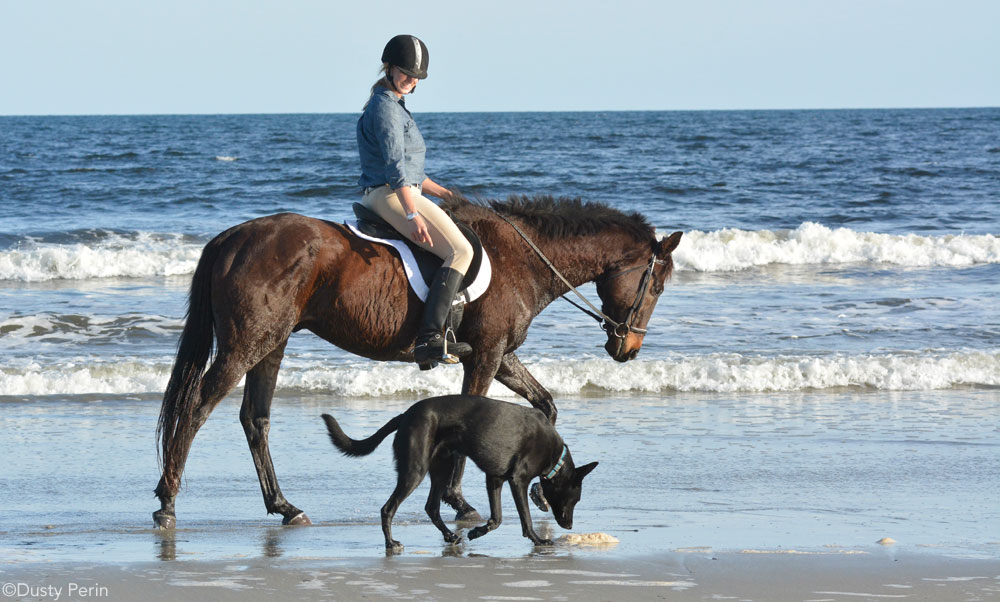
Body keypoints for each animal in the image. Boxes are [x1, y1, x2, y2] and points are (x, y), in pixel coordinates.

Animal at [152, 196, 684, 524]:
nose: (628, 350)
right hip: (247, 344)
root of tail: (231, 237)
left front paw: (537, 489)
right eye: (657, 286)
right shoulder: (485, 356)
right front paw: (458, 502)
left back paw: (284, 506)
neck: (522, 259)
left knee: (255, 419)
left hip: (271, 343)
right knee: (196, 409)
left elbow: (546, 406)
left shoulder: (502, 354)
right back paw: (168, 500)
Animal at [324, 392, 596, 552]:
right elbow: (525, 519)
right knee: (388, 508)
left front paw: (476, 532)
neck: (555, 457)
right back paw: (390, 543)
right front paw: (538, 540)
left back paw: (449, 536)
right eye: (575, 498)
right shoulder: (517, 480)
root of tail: (405, 415)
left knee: (431, 507)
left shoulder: (494, 478)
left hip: (442, 468)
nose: (570, 526)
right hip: (415, 470)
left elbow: (497, 519)